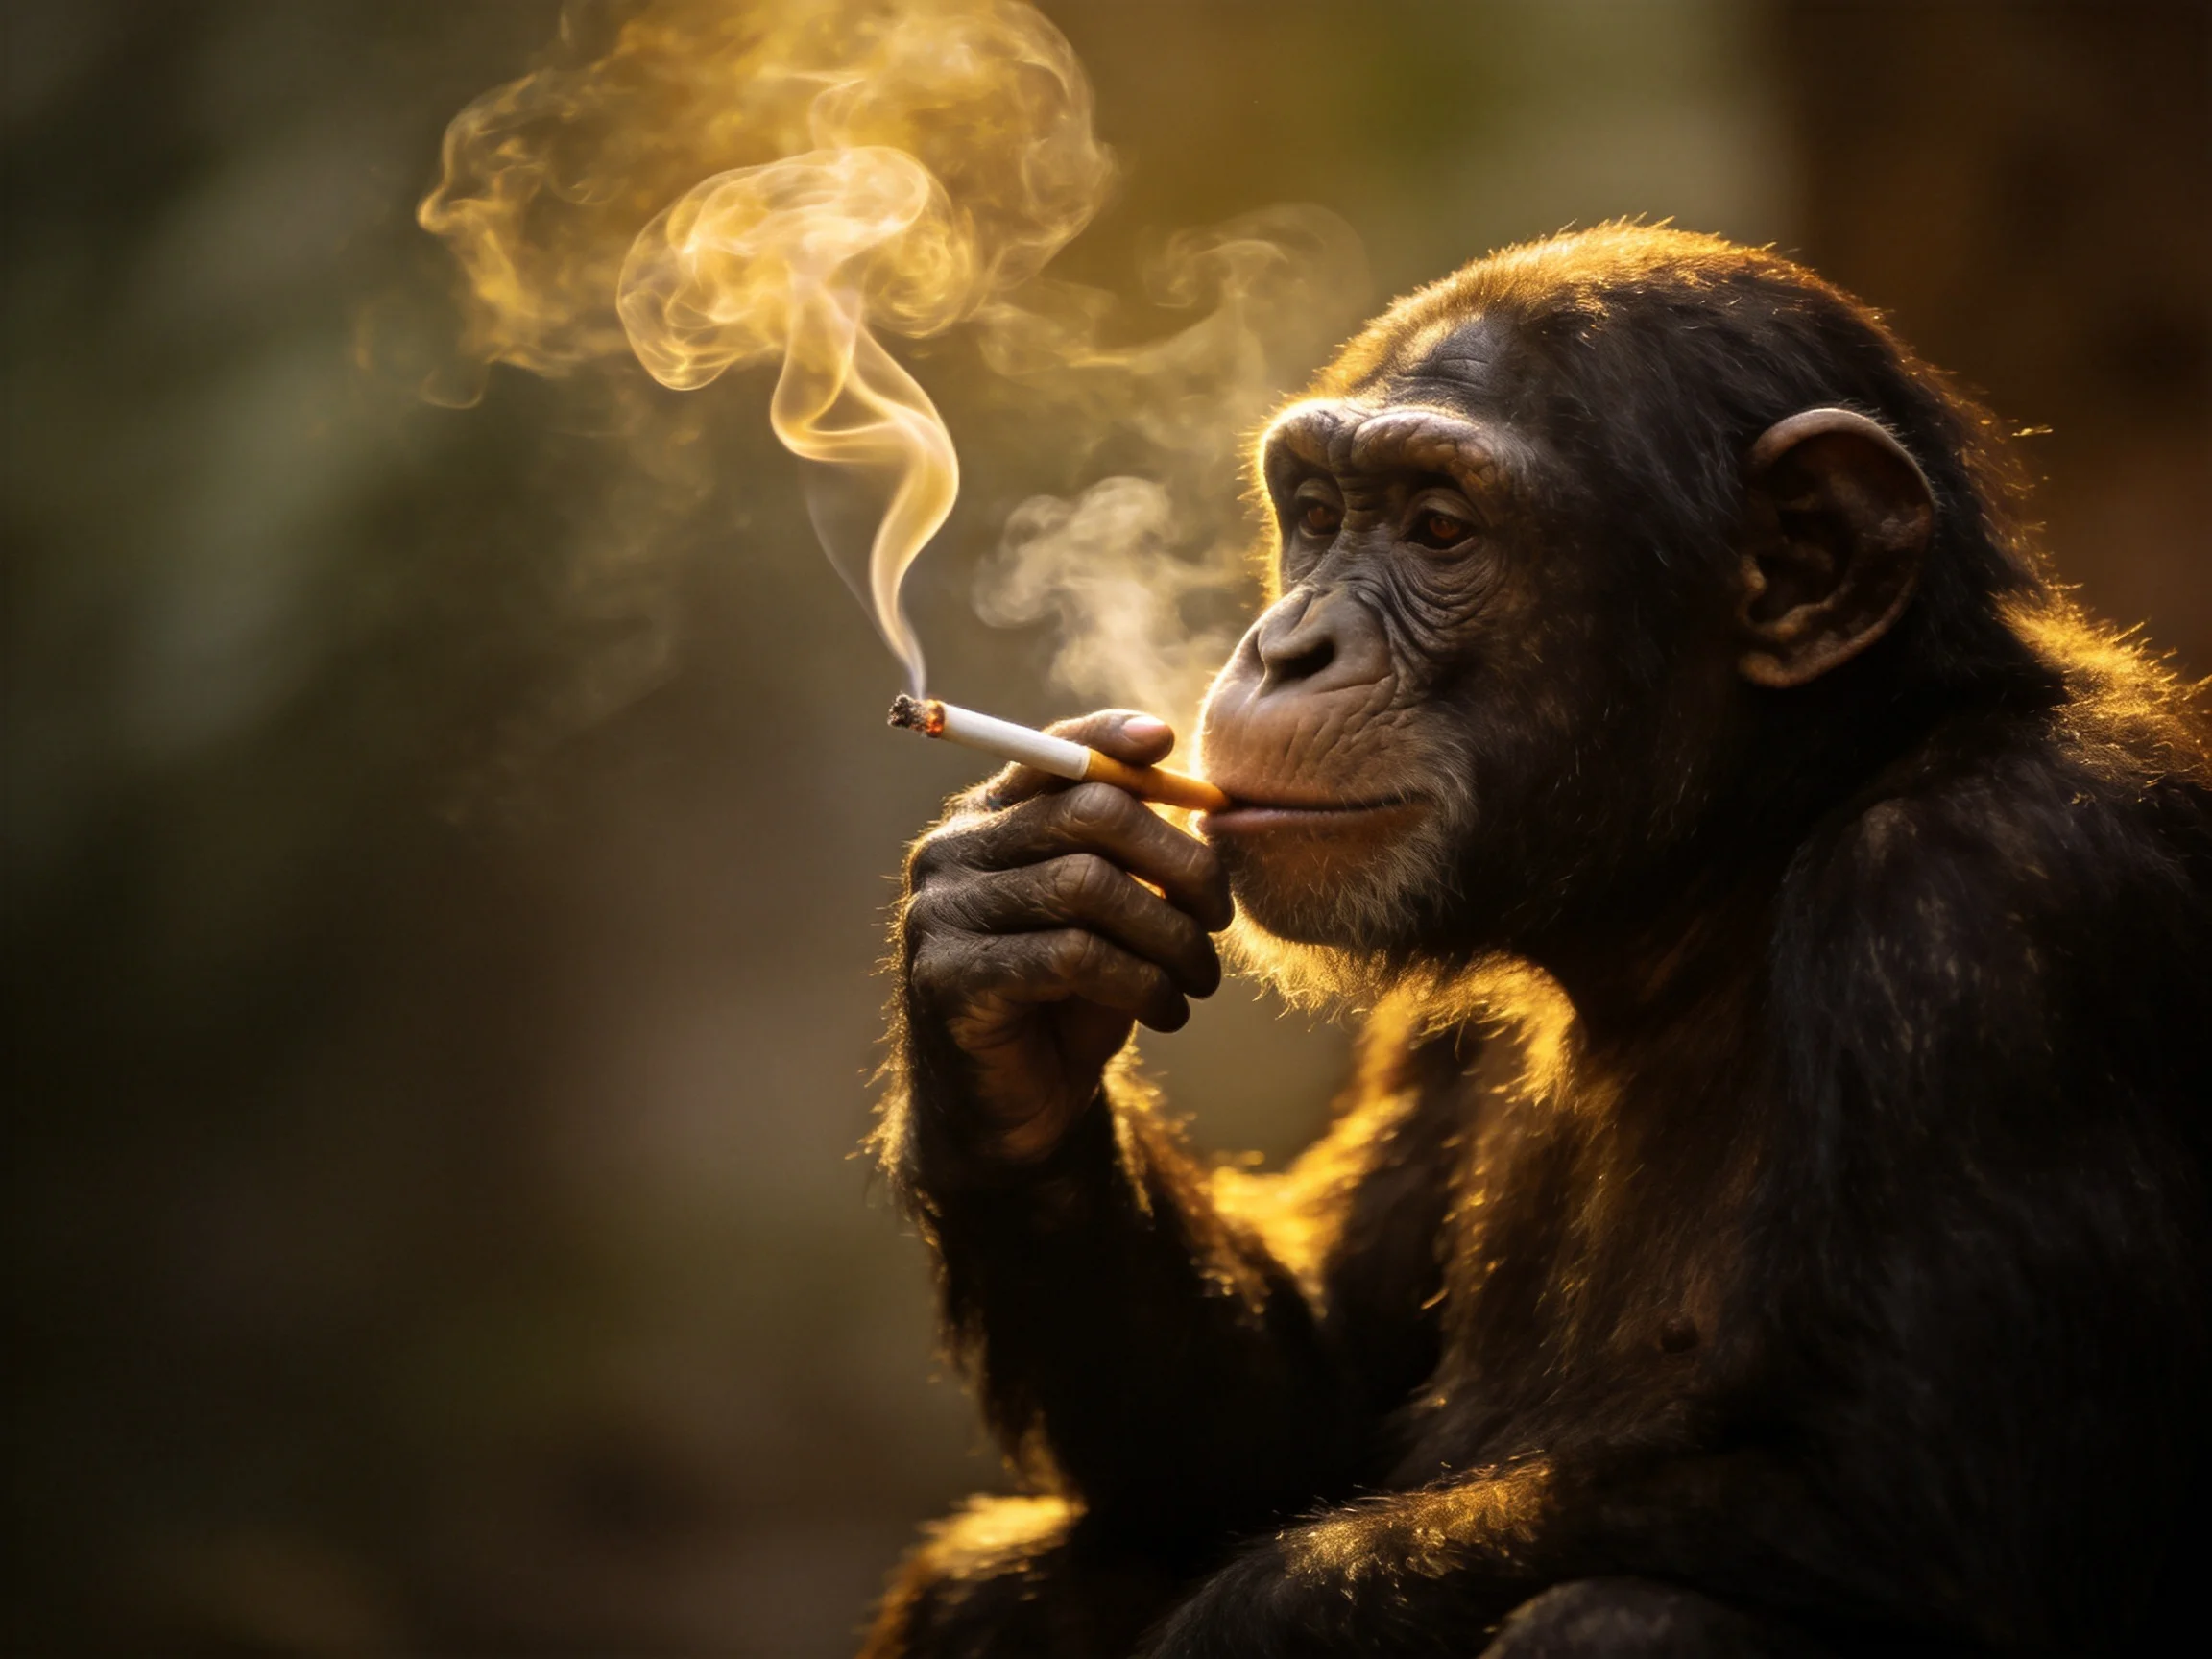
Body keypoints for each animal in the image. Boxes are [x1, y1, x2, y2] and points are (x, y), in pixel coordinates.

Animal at [860, 225, 2212, 1657]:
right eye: (1320, 517)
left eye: (1440, 528)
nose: (1288, 646)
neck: (1723, 874)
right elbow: (1290, 1413)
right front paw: (1001, 942)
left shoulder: (2005, 905)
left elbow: (1917, 1507)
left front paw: (1233, 1625)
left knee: (1623, 1615)